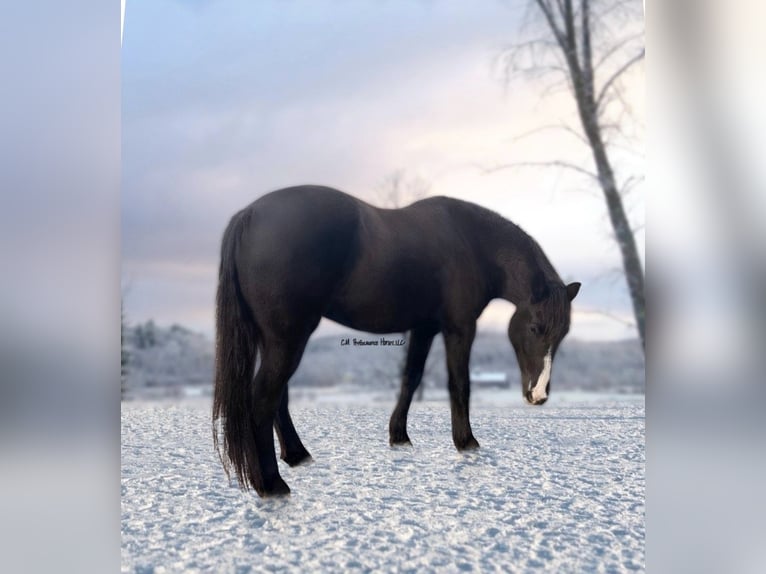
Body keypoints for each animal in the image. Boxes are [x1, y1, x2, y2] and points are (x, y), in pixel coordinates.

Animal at [213, 185, 580, 497]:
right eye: (535, 328)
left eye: (562, 335)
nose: (539, 395)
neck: (471, 242)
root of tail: (248, 215)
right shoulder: (459, 328)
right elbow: (459, 384)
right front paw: (466, 442)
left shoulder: (424, 328)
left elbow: (410, 378)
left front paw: (399, 437)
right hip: (288, 338)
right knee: (263, 398)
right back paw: (272, 485)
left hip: (275, 339)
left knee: (279, 398)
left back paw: (297, 456)